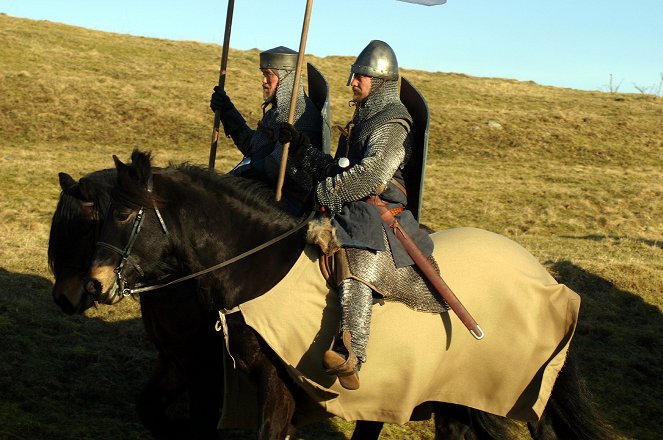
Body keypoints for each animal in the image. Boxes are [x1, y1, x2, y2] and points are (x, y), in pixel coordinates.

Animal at [85, 150, 616, 438]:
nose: (95, 281)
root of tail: (546, 276)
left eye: (126, 214)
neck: (259, 267)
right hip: (460, 395)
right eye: (104, 211)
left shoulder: (272, 386)